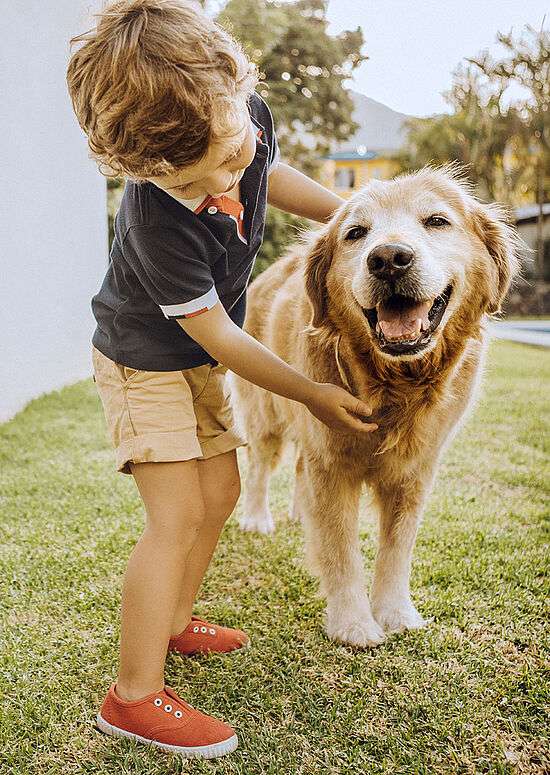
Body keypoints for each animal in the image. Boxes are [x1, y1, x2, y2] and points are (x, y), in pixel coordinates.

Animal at [231, 165, 524, 648]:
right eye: (355, 233)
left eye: (437, 221)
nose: (388, 259)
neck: (394, 385)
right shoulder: (332, 461)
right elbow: (340, 551)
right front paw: (353, 624)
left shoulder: (415, 471)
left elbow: (396, 548)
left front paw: (395, 613)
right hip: (267, 411)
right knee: (260, 464)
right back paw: (257, 517)